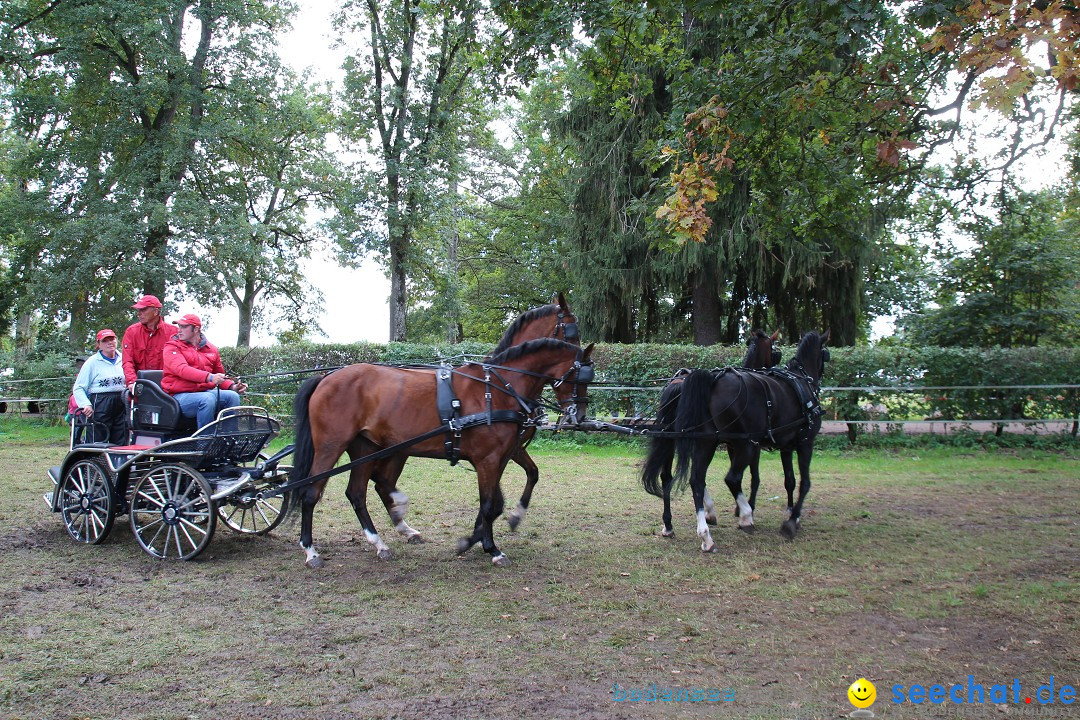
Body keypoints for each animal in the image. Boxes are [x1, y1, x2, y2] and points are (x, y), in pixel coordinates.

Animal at [287, 338, 596, 569]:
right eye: (580, 376)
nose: (579, 415)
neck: (496, 390)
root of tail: (326, 377)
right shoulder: (488, 460)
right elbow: (489, 504)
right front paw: (489, 548)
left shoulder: (503, 455)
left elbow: (504, 496)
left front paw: (484, 536)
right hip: (331, 446)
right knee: (311, 493)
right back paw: (311, 551)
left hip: (367, 447)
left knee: (357, 493)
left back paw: (380, 543)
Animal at [635, 330, 781, 537]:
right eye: (773, 349)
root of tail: (680, 383)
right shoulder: (750, 445)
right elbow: (753, 477)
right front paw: (744, 509)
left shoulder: (730, 445)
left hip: (672, 438)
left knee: (667, 476)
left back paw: (668, 524)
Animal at [669, 332, 829, 552]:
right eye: (825, 354)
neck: (801, 380)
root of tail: (712, 379)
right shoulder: (803, 443)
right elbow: (800, 482)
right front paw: (791, 520)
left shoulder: (783, 447)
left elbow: (788, 480)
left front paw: (788, 512)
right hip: (744, 445)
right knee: (731, 478)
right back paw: (745, 517)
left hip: (706, 442)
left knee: (697, 480)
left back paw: (706, 534)